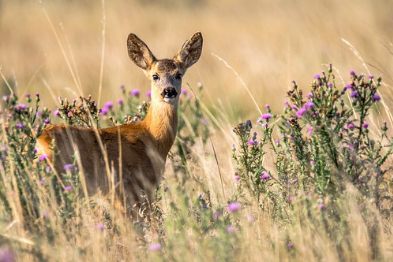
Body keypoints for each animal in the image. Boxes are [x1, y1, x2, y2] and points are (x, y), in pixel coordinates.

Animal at [36, 31, 204, 218]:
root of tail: (40, 141)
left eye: (179, 74)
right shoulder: (134, 187)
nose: (169, 91)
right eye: (155, 76)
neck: (152, 138)